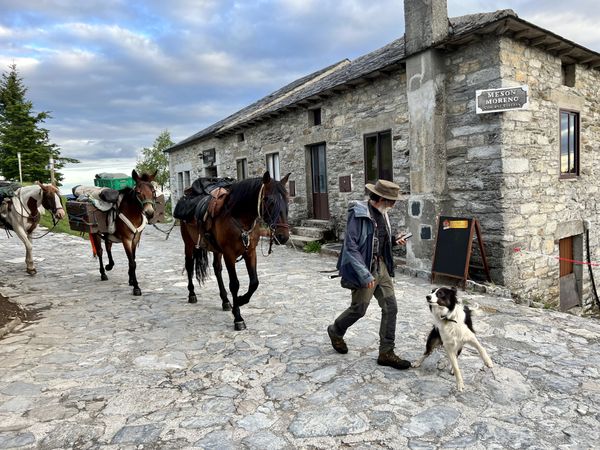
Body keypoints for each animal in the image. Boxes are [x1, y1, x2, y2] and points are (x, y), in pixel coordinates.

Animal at [178, 171, 290, 328]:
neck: (238, 217)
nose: (283, 236)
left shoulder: (250, 252)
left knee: (217, 269)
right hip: (188, 244)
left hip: (216, 250)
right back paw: (192, 294)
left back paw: (225, 301)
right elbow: (234, 284)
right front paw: (238, 317)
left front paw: (242, 300)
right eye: (269, 200)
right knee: (189, 266)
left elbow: (254, 282)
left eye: (287, 200)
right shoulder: (229, 255)